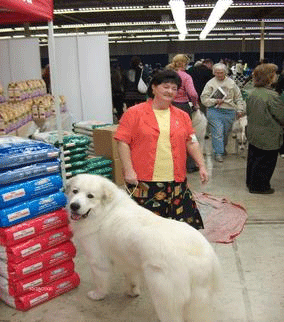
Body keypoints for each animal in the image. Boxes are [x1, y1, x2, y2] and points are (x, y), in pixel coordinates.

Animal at [67, 174, 222, 322]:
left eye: (90, 196)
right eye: (75, 191)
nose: (74, 206)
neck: (106, 211)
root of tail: (200, 254)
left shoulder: (98, 262)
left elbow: (100, 283)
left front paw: (97, 295)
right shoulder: (127, 259)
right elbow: (131, 278)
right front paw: (132, 292)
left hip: (162, 294)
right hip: (198, 299)